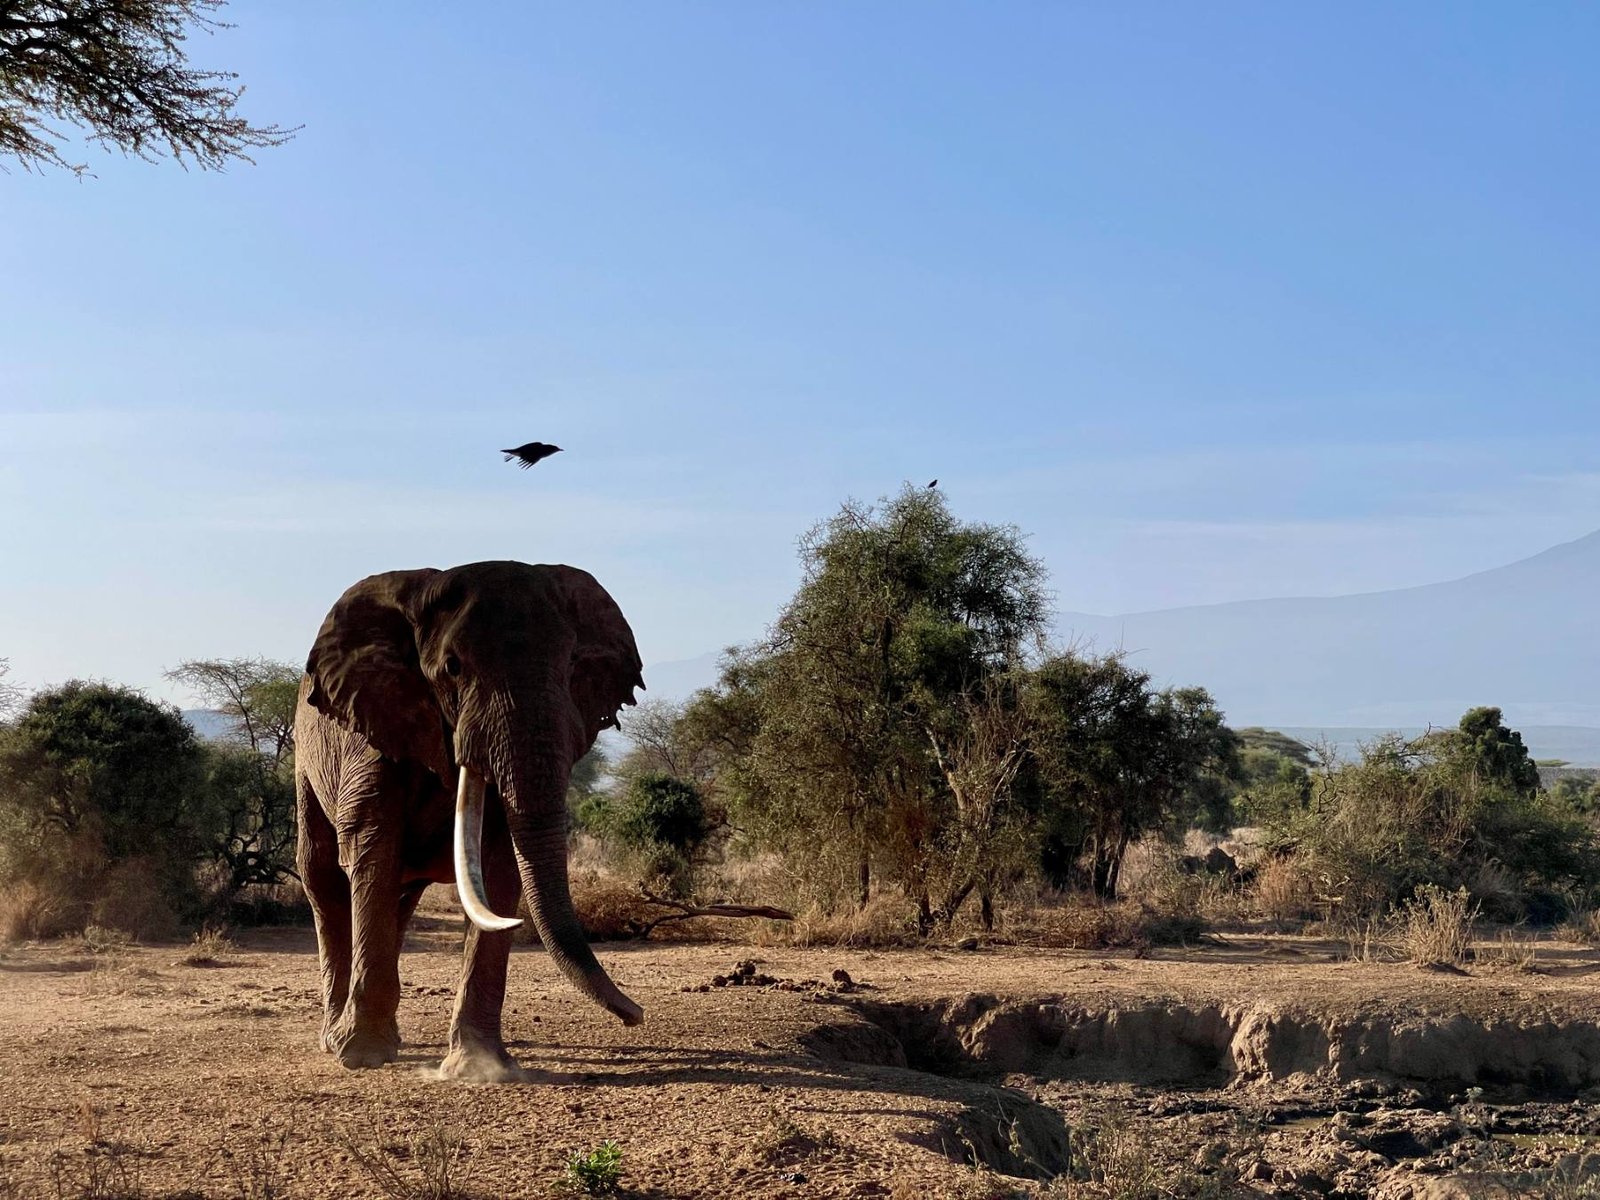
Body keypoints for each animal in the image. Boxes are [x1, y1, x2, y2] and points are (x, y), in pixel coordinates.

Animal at [293, 559, 645, 1079]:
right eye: (452, 669)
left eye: (570, 667)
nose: (637, 1014)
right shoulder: (371, 725)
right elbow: (373, 845)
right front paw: (362, 1057)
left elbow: (499, 862)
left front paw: (480, 1067)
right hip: (306, 759)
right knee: (324, 876)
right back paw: (334, 1039)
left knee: (398, 896)